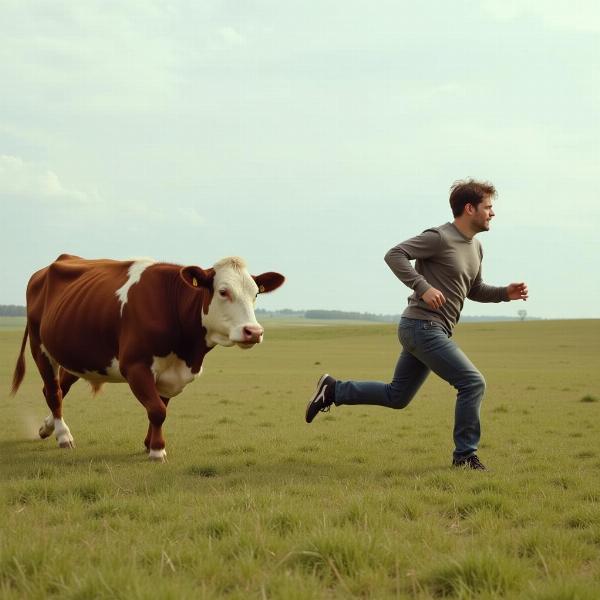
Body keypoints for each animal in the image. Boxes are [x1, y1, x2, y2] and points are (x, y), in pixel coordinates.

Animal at [11, 251, 284, 462]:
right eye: (223, 292)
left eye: (255, 294)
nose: (253, 331)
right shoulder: (135, 366)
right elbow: (157, 410)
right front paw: (156, 450)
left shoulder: (172, 374)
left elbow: (159, 407)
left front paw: (149, 442)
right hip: (40, 347)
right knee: (53, 391)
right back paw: (63, 435)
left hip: (80, 354)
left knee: (60, 387)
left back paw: (47, 428)